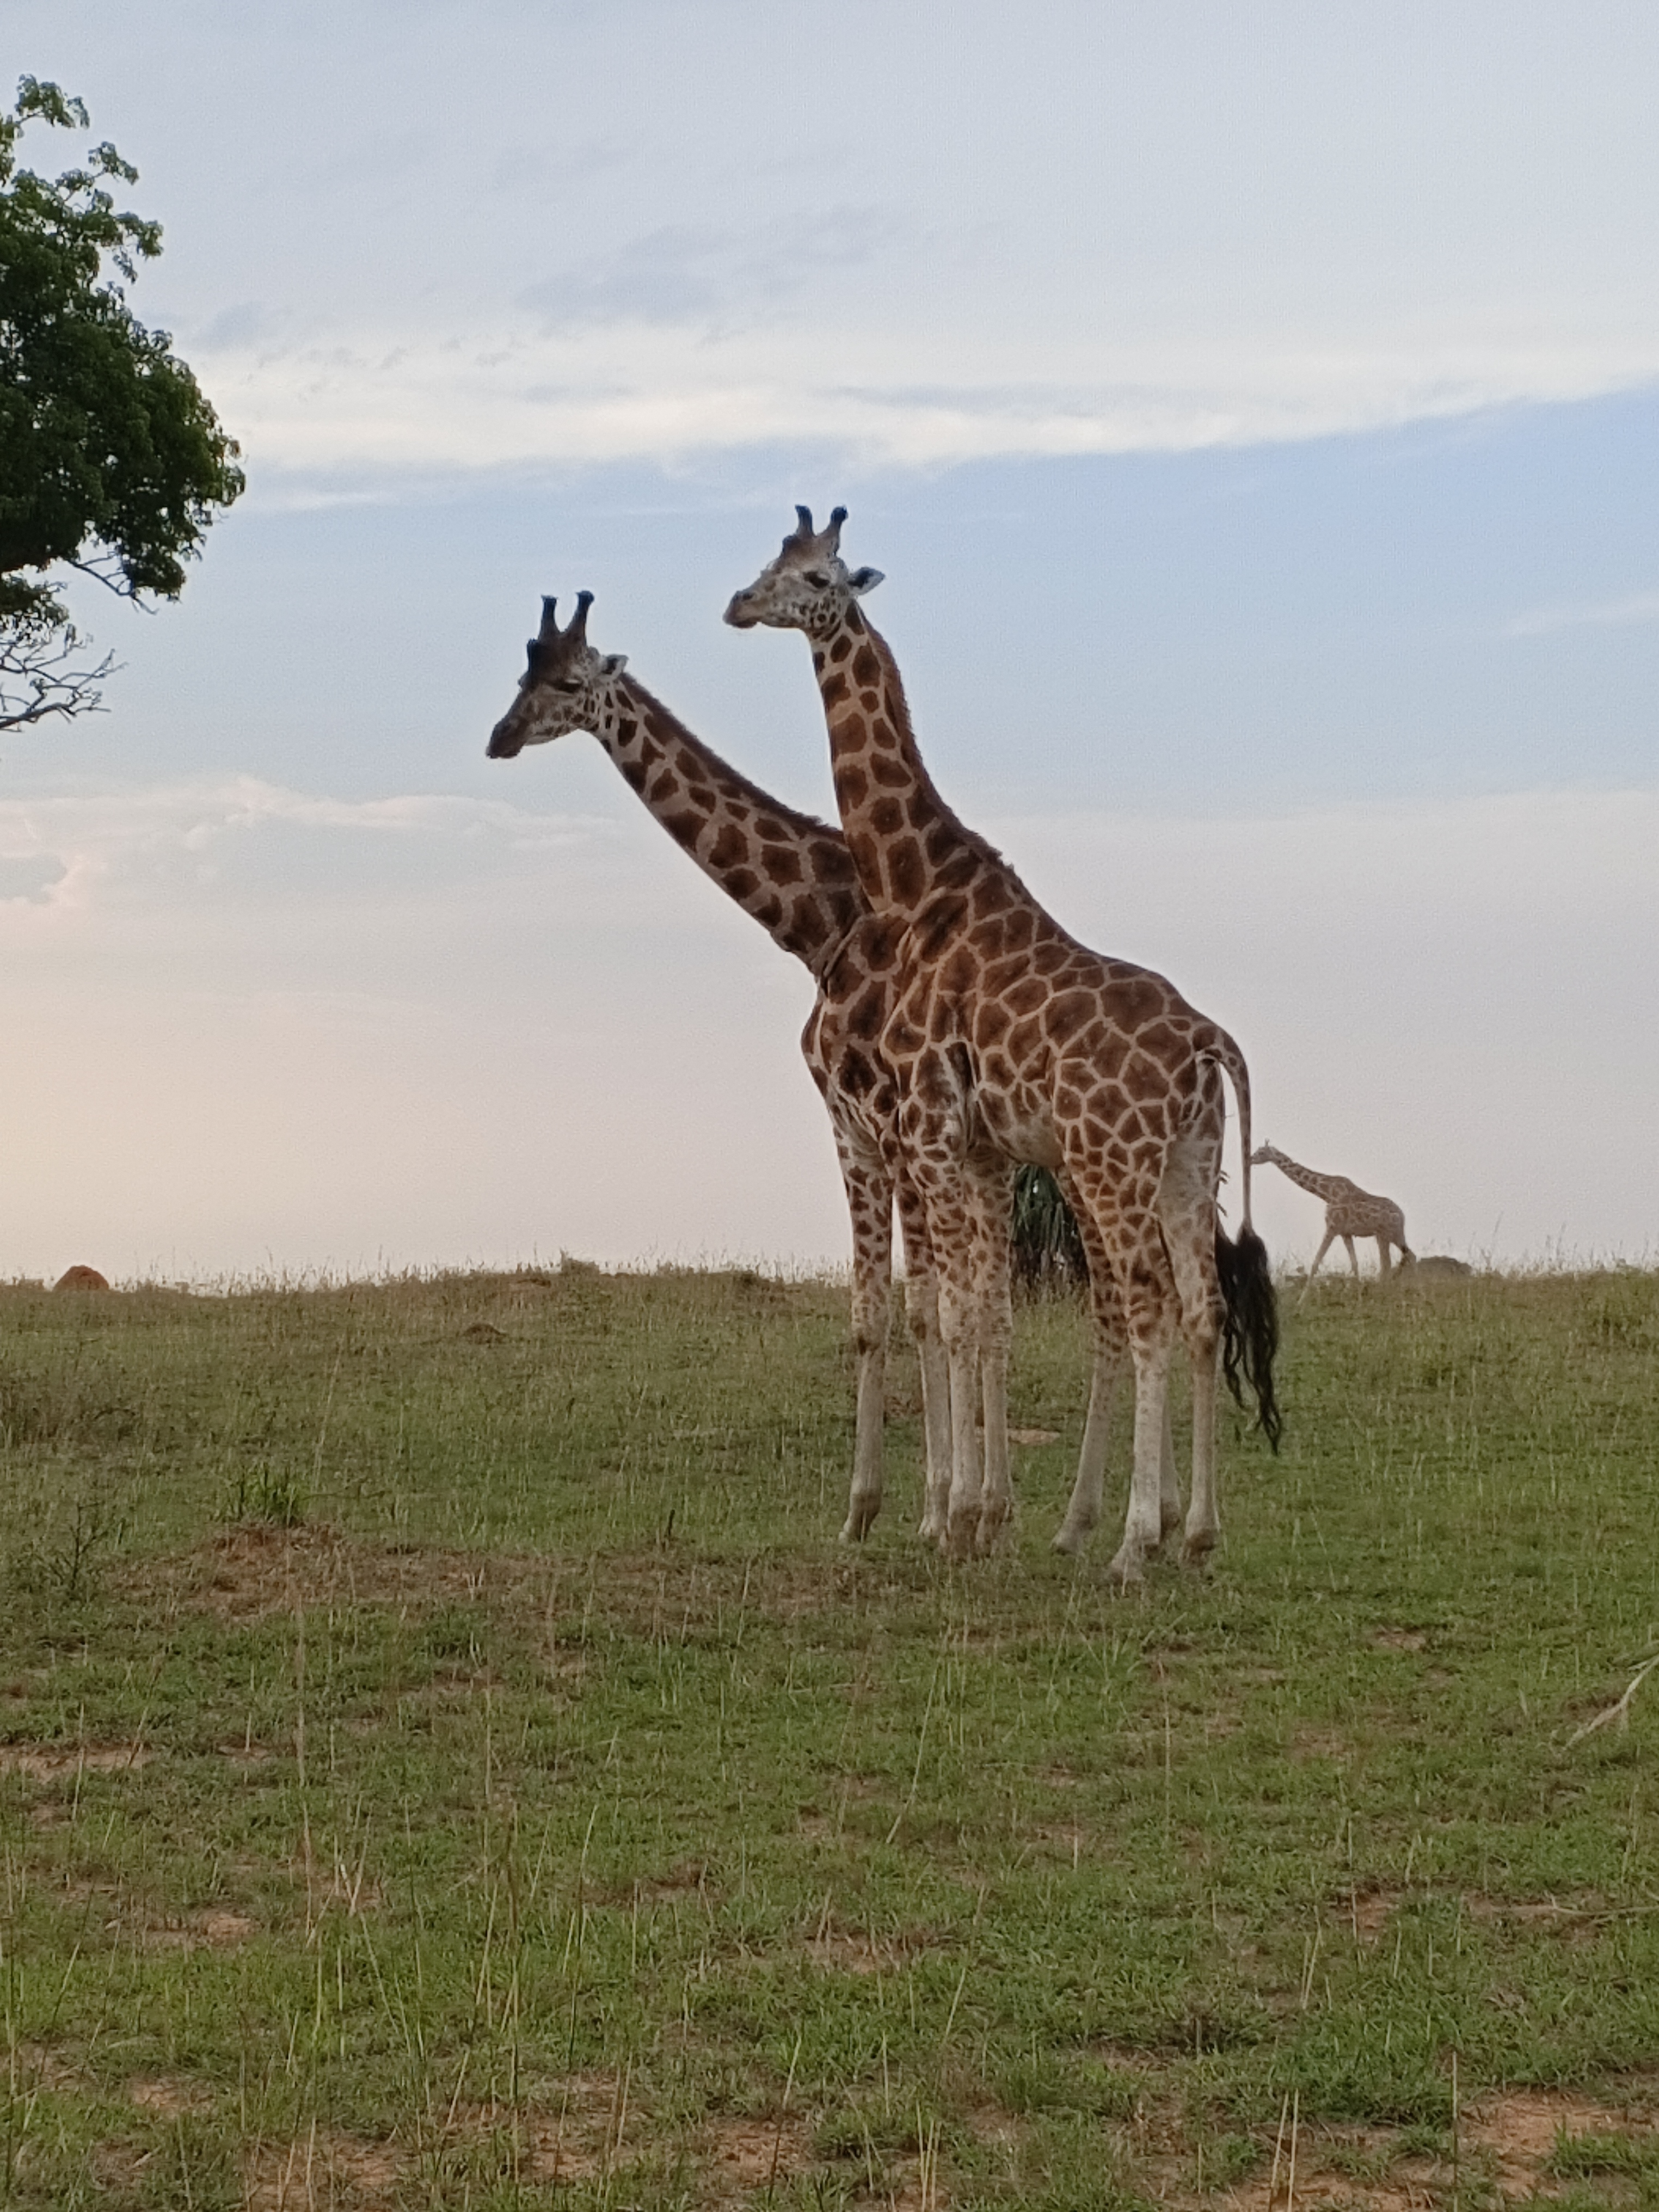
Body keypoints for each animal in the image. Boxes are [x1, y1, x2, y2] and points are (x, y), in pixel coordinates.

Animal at [725, 508, 1280, 1582]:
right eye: (769, 560)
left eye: (815, 577)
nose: (736, 604)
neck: (915, 885)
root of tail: (1208, 1044)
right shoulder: (973, 1147)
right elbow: (974, 1312)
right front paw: (977, 1515)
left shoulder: (929, 1128)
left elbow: (961, 1313)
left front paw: (962, 1518)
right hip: (1186, 1165)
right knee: (1199, 1310)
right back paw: (1194, 1532)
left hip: (1111, 1165)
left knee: (1146, 1309)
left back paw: (1131, 1544)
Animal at [1250, 1144, 1414, 1283]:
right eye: (1257, 1151)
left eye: (1261, 1152)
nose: (1251, 1159)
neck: (1326, 1193)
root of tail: (1403, 1216)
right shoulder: (1345, 1233)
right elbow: (1355, 1264)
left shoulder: (1332, 1227)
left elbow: (1315, 1263)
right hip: (1391, 1235)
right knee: (1405, 1257)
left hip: (1386, 1235)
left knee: (1390, 1263)